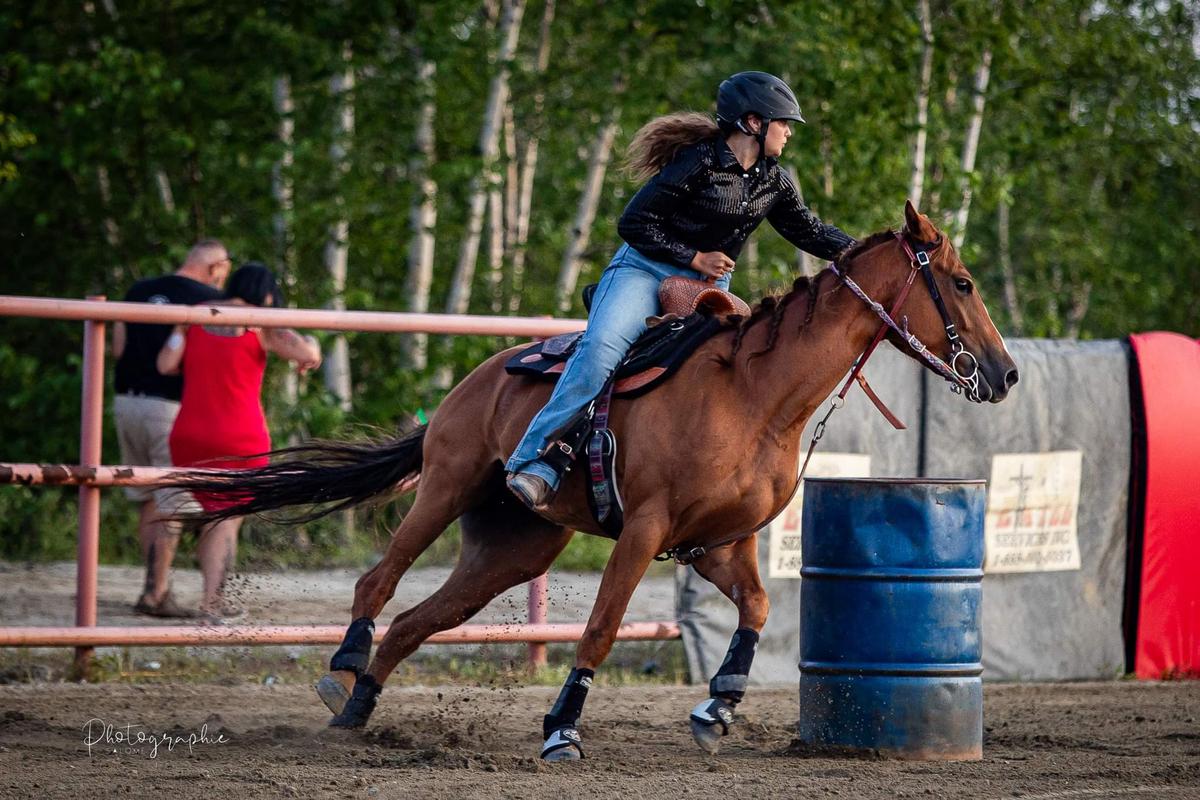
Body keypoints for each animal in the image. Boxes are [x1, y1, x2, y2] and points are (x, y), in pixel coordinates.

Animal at [175, 203, 1012, 762]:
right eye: (964, 282)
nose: (1004, 375)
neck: (758, 396)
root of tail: (474, 379)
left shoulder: (721, 541)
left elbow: (760, 608)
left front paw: (718, 706)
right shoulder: (644, 528)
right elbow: (604, 628)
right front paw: (561, 730)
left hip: (514, 549)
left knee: (416, 622)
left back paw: (357, 710)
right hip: (445, 485)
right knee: (377, 581)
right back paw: (345, 664)